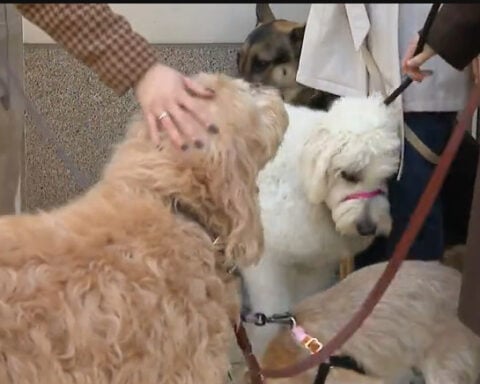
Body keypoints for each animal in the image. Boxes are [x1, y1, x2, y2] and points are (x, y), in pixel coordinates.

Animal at [242, 94, 404, 356]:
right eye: (349, 174)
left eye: (387, 177)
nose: (367, 228)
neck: (303, 179)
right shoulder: (266, 265)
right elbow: (270, 316)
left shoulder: (314, 265)